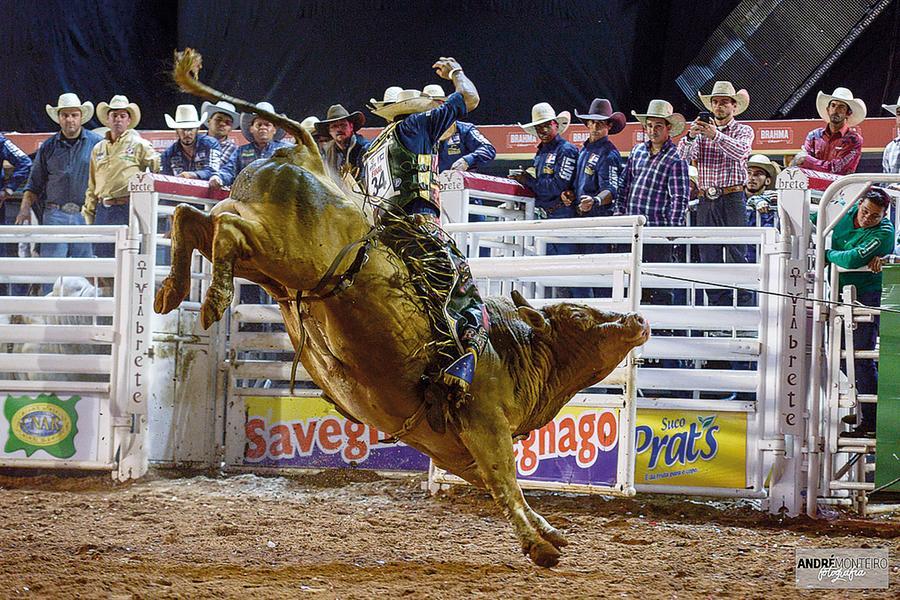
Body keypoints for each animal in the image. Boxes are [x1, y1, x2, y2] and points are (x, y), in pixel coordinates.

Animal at [155, 48, 648, 568]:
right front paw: (539, 545)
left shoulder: (454, 448)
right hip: (284, 252)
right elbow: (506, 483)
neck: (512, 350)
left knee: (194, 219)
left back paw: (172, 289)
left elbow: (499, 485)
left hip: (266, 257)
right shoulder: (484, 423)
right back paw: (212, 298)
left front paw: (548, 531)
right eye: (579, 316)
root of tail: (308, 153)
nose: (637, 320)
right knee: (223, 229)